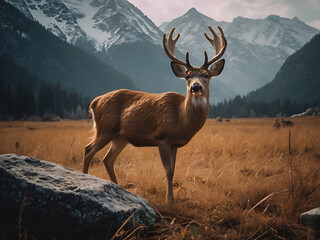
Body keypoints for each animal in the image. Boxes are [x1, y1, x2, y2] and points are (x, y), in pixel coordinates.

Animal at [82, 25, 228, 206]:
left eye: (206, 75)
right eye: (187, 76)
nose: (195, 87)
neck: (181, 119)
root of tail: (95, 101)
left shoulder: (175, 144)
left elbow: (173, 170)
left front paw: (172, 199)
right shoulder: (162, 138)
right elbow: (168, 170)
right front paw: (170, 201)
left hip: (120, 137)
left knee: (107, 159)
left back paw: (118, 186)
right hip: (105, 128)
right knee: (88, 150)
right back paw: (85, 178)